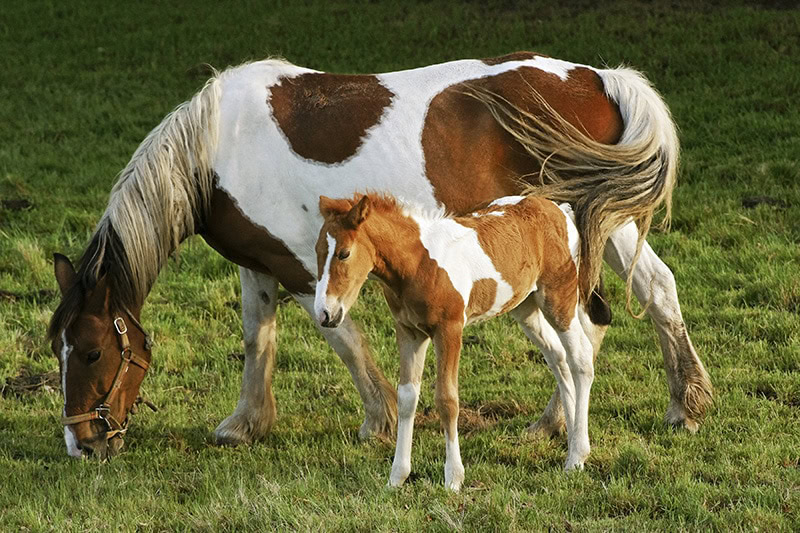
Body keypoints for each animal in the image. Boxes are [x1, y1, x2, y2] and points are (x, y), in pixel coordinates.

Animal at [48, 52, 712, 459]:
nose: (84, 444)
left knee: (647, 296)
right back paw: (559, 421)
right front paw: (246, 423)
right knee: (609, 314)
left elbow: (340, 339)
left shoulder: (303, 268)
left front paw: (379, 419)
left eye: (91, 350)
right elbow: (257, 338)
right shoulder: (258, 265)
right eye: (58, 350)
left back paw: (683, 407)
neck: (218, 147)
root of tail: (599, 78)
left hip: (602, 222)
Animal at [314, 192, 610, 490]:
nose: (324, 313)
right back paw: (570, 439)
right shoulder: (409, 332)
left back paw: (577, 457)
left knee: (581, 358)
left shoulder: (449, 329)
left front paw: (453, 479)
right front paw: (397, 477)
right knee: (558, 358)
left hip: (559, 298)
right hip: (525, 307)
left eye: (344, 253)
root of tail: (556, 209)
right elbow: (407, 397)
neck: (419, 263)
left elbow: (447, 400)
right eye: (317, 251)